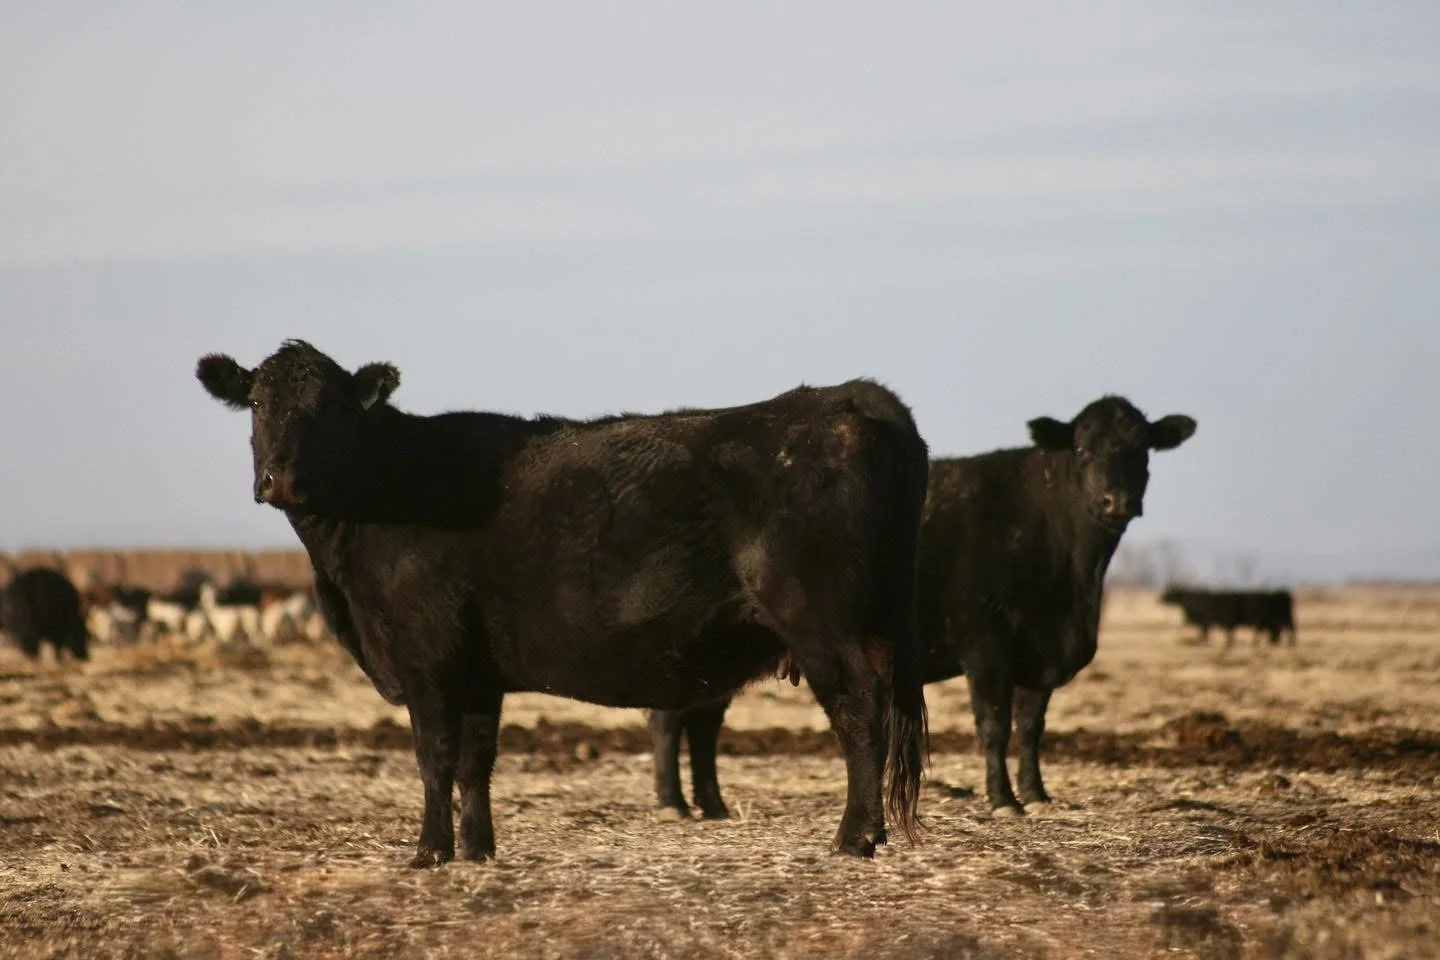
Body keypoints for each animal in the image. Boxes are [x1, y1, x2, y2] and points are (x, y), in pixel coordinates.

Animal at [196, 339, 929, 866]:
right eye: (257, 403)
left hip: (821, 624)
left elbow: (434, 755)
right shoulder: (475, 671)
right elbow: (476, 760)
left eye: (334, 410)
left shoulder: (425, 657)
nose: (282, 479)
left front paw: (428, 852)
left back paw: (856, 837)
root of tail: (848, 398)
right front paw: (477, 850)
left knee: (859, 714)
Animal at [650, 396, 1195, 820]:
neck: (1073, 585)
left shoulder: (1040, 652)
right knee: (670, 719)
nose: (1115, 501)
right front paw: (1003, 801)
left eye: (1142, 450)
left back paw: (712, 805)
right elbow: (994, 725)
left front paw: (1038, 794)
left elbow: (1031, 725)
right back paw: (673, 803)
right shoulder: (985, 644)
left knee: (703, 721)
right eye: (1082, 449)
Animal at [1159, 586, 1296, 647]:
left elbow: (1207, 633)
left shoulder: (1207, 621)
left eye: (1169, 592)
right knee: (1277, 630)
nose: (1159, 599)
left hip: (1270, 618)